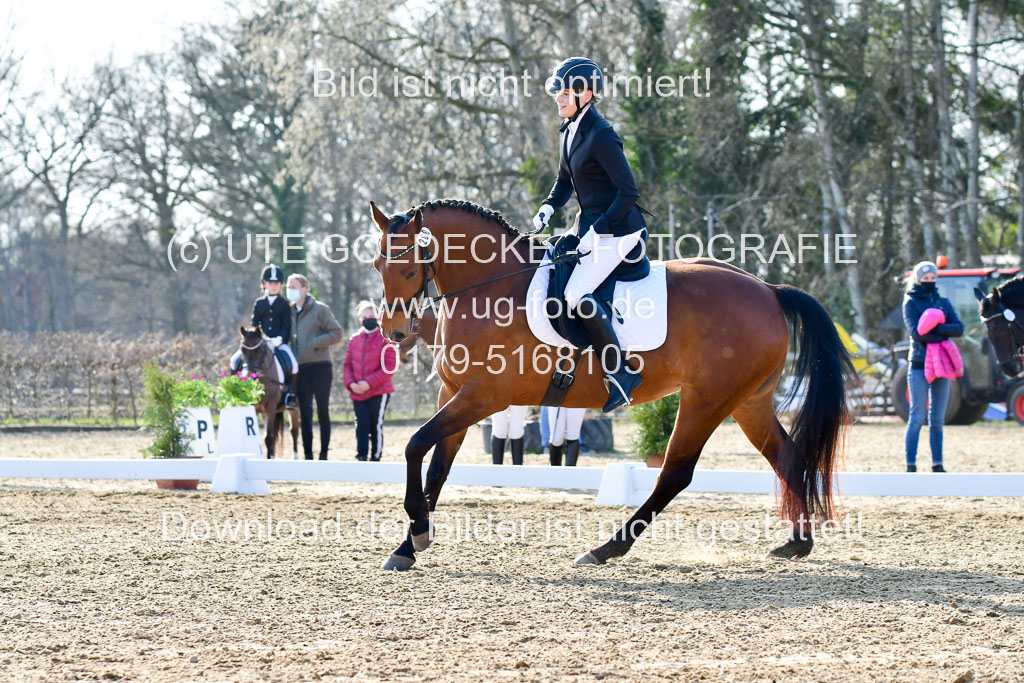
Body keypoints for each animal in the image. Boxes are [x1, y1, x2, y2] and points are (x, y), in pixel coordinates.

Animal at [239, 325, 299, 458]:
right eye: (242, 350)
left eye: (260, 351)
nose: (248, 377)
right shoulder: (254, 407)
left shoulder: (270, 408)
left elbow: (268, 438)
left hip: (294, 407)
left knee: (294, 431)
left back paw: (296, 457)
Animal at [370, 197, 856, 573]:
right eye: (377, 263)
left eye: (410, 270)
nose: (394, 331)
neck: (489, 288)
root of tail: (769, 289)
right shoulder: (452, 393)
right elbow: (437, 466)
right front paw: (409, 546)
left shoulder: (483, 396)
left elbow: (414, 445)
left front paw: (418, 531)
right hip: (747, 401)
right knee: (787, 457)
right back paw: (796, 543)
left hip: (707, 400)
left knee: (674, 473)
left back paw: (606, 548)